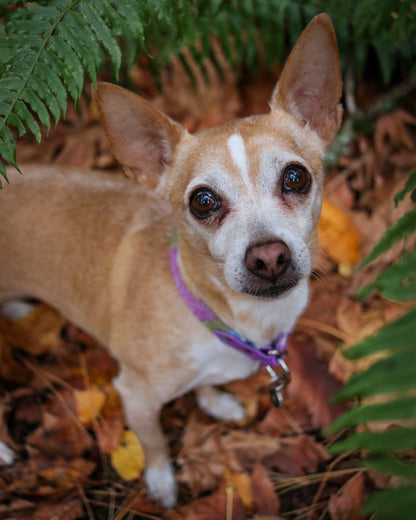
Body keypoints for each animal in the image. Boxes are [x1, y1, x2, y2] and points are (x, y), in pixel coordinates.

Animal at [0, 13, 342, 508]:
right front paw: (160, 481)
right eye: (202, 201)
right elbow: (155, 442)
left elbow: (206, 384)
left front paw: (214, 398)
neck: (235, 318)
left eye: (296, 177)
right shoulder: (135, 396)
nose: (269, 257)